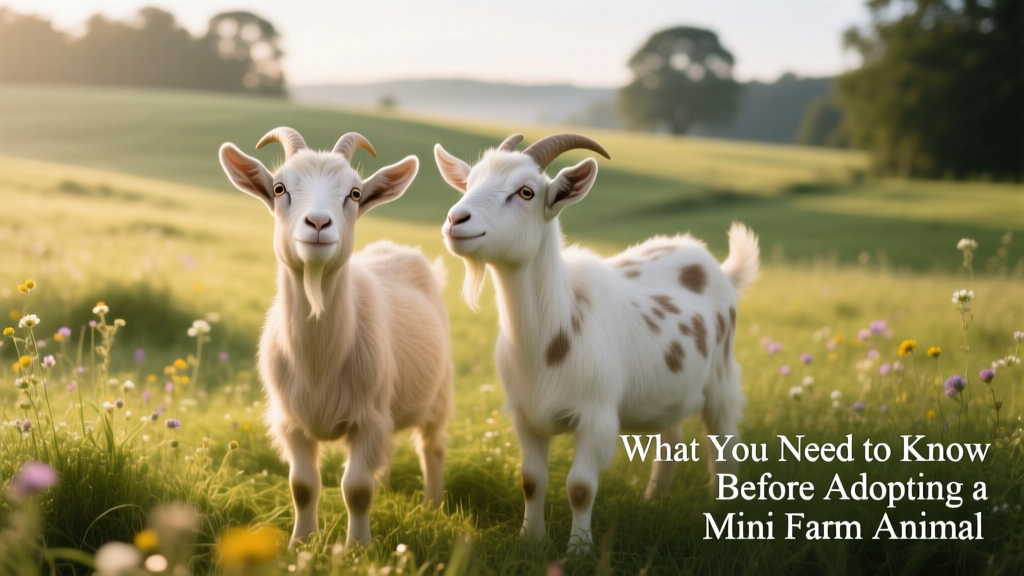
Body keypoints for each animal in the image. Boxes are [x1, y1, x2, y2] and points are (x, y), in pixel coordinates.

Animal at [219, 127, 453, 548]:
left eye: (355, 193)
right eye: (279, 188)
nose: (317, 222)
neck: (318, 361)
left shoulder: (367, 418)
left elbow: (356, 488)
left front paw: (358, 547)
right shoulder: (291, 422)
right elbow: (302, 485)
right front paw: (300, 542)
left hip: (439, 392)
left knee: (433, 445)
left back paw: (432, 505)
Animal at [434, 133, 758, 551]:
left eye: (526, 192)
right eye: (469, 183)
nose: (456, 220)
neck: (549, 336)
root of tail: (716, 266)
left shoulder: (597, 416)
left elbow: (581, 486)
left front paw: (578, 549)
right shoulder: (526, 415)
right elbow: (531, 480)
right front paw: (530, 538)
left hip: (720, 375)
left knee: (724, 439)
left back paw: (720, 509)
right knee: (671, 438)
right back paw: (653, 500)